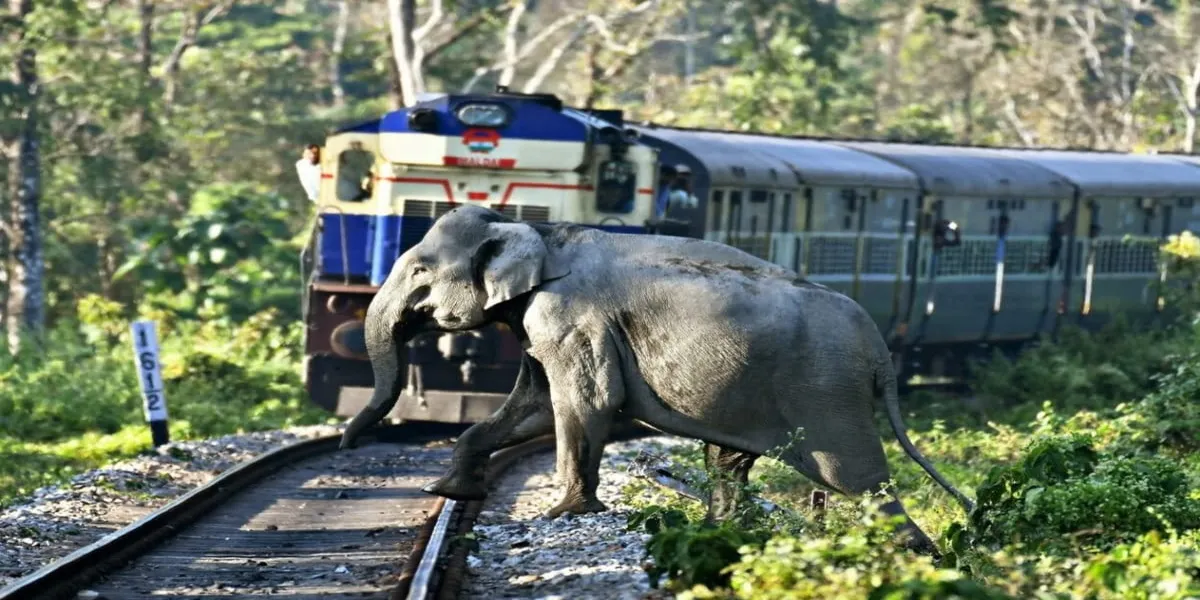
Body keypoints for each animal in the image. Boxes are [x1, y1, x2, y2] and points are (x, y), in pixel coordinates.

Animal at [338, 204, 975, 554]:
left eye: (420, 270)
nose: (345, 444)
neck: (536, 230)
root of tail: (880, 350)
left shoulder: (570, 318)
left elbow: (586, 403)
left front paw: (560, 516)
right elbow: (535, 406)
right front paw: (449, 493)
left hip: (826, 394)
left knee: (858, 479)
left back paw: (917, 555)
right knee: (730, 460)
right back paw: (723, 528)